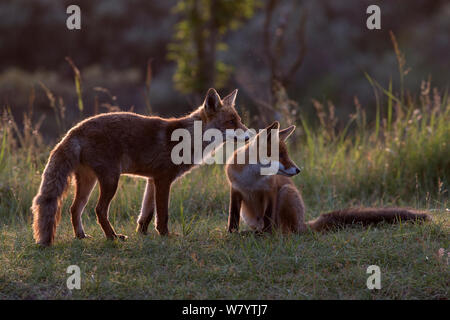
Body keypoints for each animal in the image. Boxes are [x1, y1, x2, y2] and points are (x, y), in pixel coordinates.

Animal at [32, 87, 250, 245]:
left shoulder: (152, 180)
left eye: (239, 120)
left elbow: (147, 212)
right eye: (231, 122)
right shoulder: (163, 179)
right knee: (99, 210)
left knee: (74, 208)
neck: (189, 139)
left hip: (89, 182)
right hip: (111, 180)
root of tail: (74, 130)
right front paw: (165, 235)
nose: (250, 135)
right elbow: (163, 213)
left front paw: (143, 233)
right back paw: (112, 237)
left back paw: (81, 236)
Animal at [227, 121, 430, 234]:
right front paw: (231, 234)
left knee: (286, 231)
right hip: (252, 214)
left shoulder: (270, 191)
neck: (252, 179)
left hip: (286, 192)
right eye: (281, 155)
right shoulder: (235, 190)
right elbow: (232, 217)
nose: (298, 170)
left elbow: (268, 220)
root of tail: (304, 223)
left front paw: (263, 236)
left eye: (287, 154)